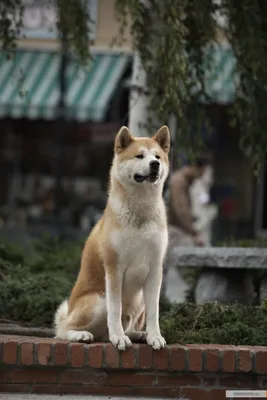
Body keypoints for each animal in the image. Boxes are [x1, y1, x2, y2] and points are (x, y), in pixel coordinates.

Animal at [54, 126, 171, 350]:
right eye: (140, 156)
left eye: (157, 156)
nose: (155, 164)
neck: (140, 213)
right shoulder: (114, 268)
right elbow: (115, 310)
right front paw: (118, 337)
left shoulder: (155, 270)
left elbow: (155, 312)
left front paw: (154, 336)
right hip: (98, 301)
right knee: (63, 330)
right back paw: (82, 335)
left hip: (139, 300)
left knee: (122, 327)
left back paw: (138, 334)